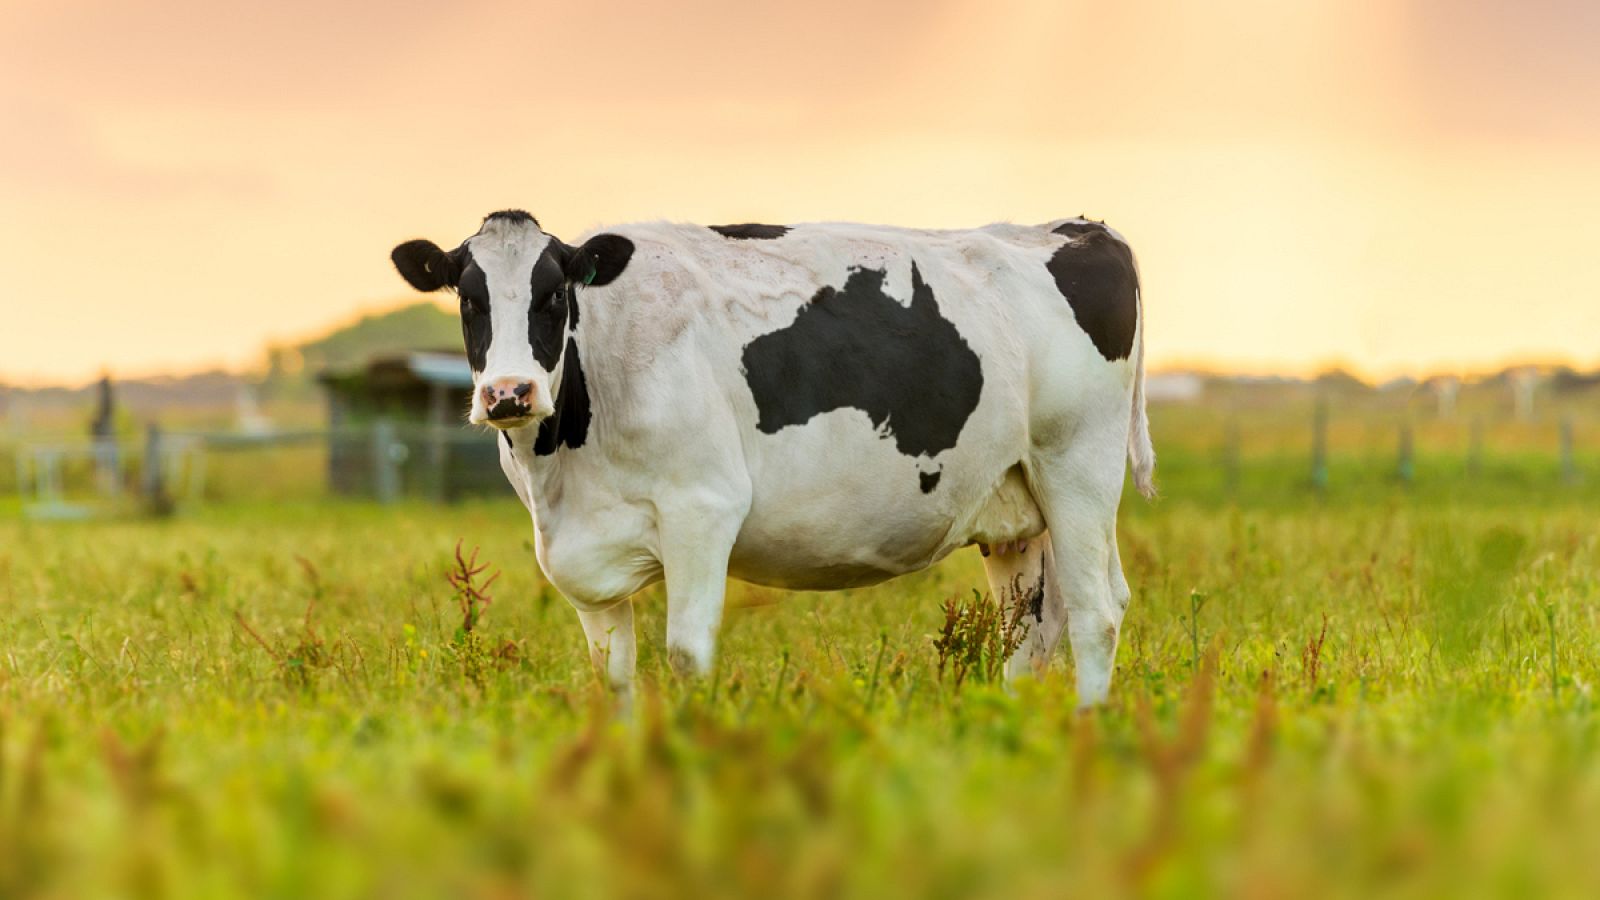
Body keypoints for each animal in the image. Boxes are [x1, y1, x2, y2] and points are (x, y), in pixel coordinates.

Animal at [390, 210, 1154, 707]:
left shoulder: (702, 510)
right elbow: (613, 676)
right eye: (468, 299)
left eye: (553, 294)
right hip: (1014, 503)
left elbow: (687, 655)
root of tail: (1080, 225)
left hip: (1078, 468)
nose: (508, 393)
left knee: (1095, 611)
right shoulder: (586, 557)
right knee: (1030, 624)